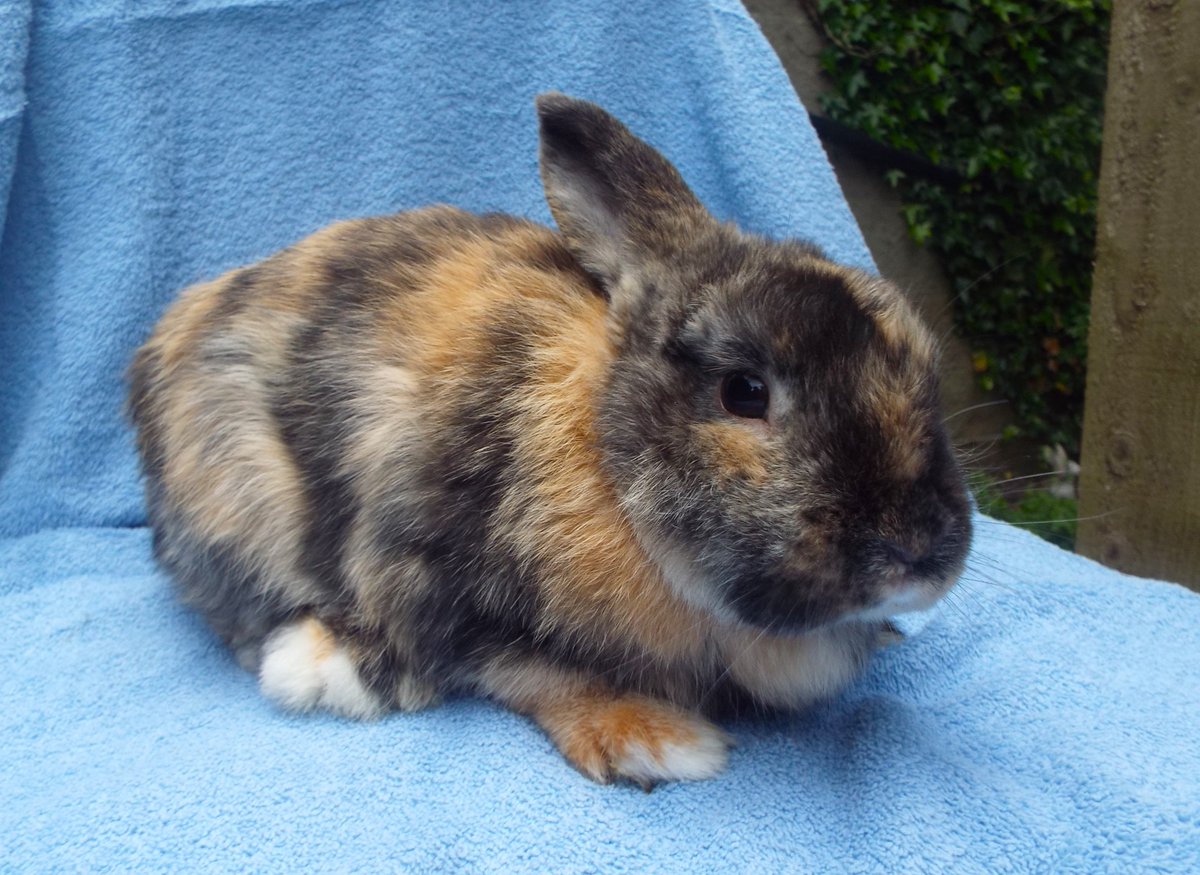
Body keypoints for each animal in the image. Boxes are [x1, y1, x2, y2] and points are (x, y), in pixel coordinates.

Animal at [128, 93, 973, 787]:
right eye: (745, 391)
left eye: (928, 374)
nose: (917, 549)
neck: (605, 460)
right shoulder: (439, 584)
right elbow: (533, 672)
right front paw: (659, 742)